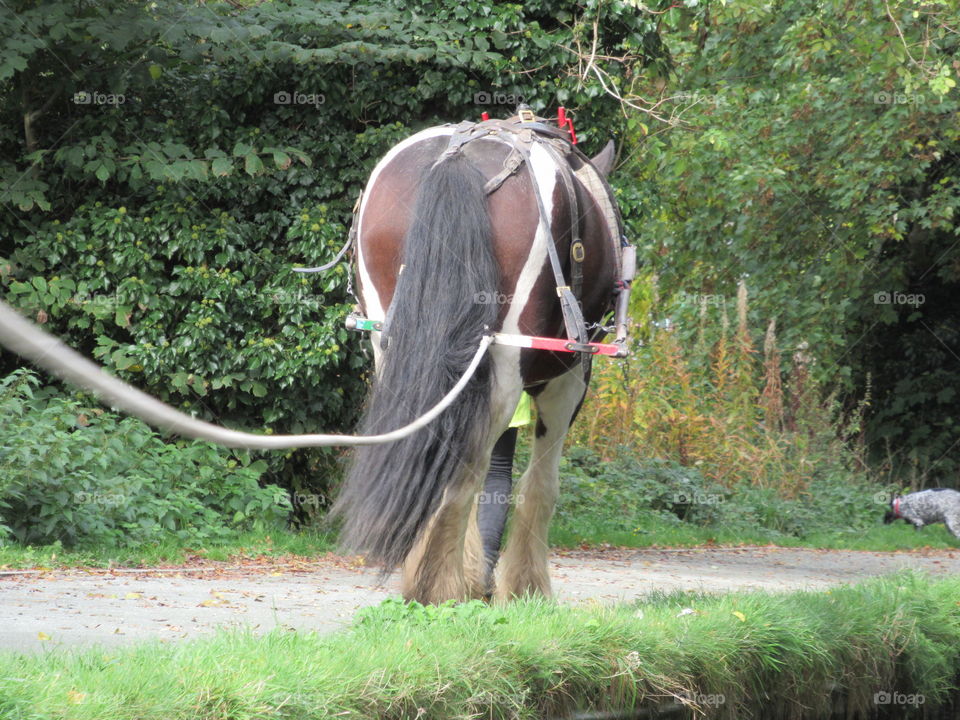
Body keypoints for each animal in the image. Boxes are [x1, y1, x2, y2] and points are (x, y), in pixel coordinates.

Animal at [332, 114, 628, 604]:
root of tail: (456, 157)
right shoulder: (570, 377)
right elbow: (539, 484)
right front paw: (526, 587)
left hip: (393, 345)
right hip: (506, 358)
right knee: (462, 468)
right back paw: (438, 586)